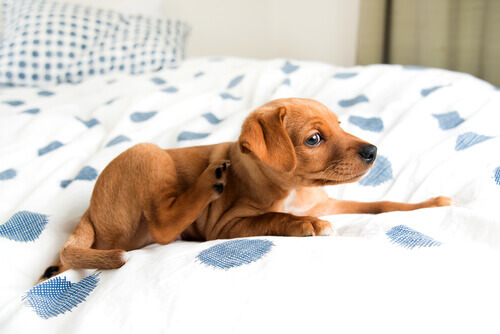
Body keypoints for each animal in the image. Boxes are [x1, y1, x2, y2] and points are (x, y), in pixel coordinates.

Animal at [40, 98, 454, 280]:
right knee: (162, 225)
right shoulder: (226, 225)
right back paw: (209, 181)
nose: (373, 152)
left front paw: (432, 202)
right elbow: (272, 217)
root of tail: (89, 210)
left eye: (340, 125)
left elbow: (382, 204)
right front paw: (304, 225)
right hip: (148, 154)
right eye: (314, 139)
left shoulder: (328, 202)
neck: (295, 191)